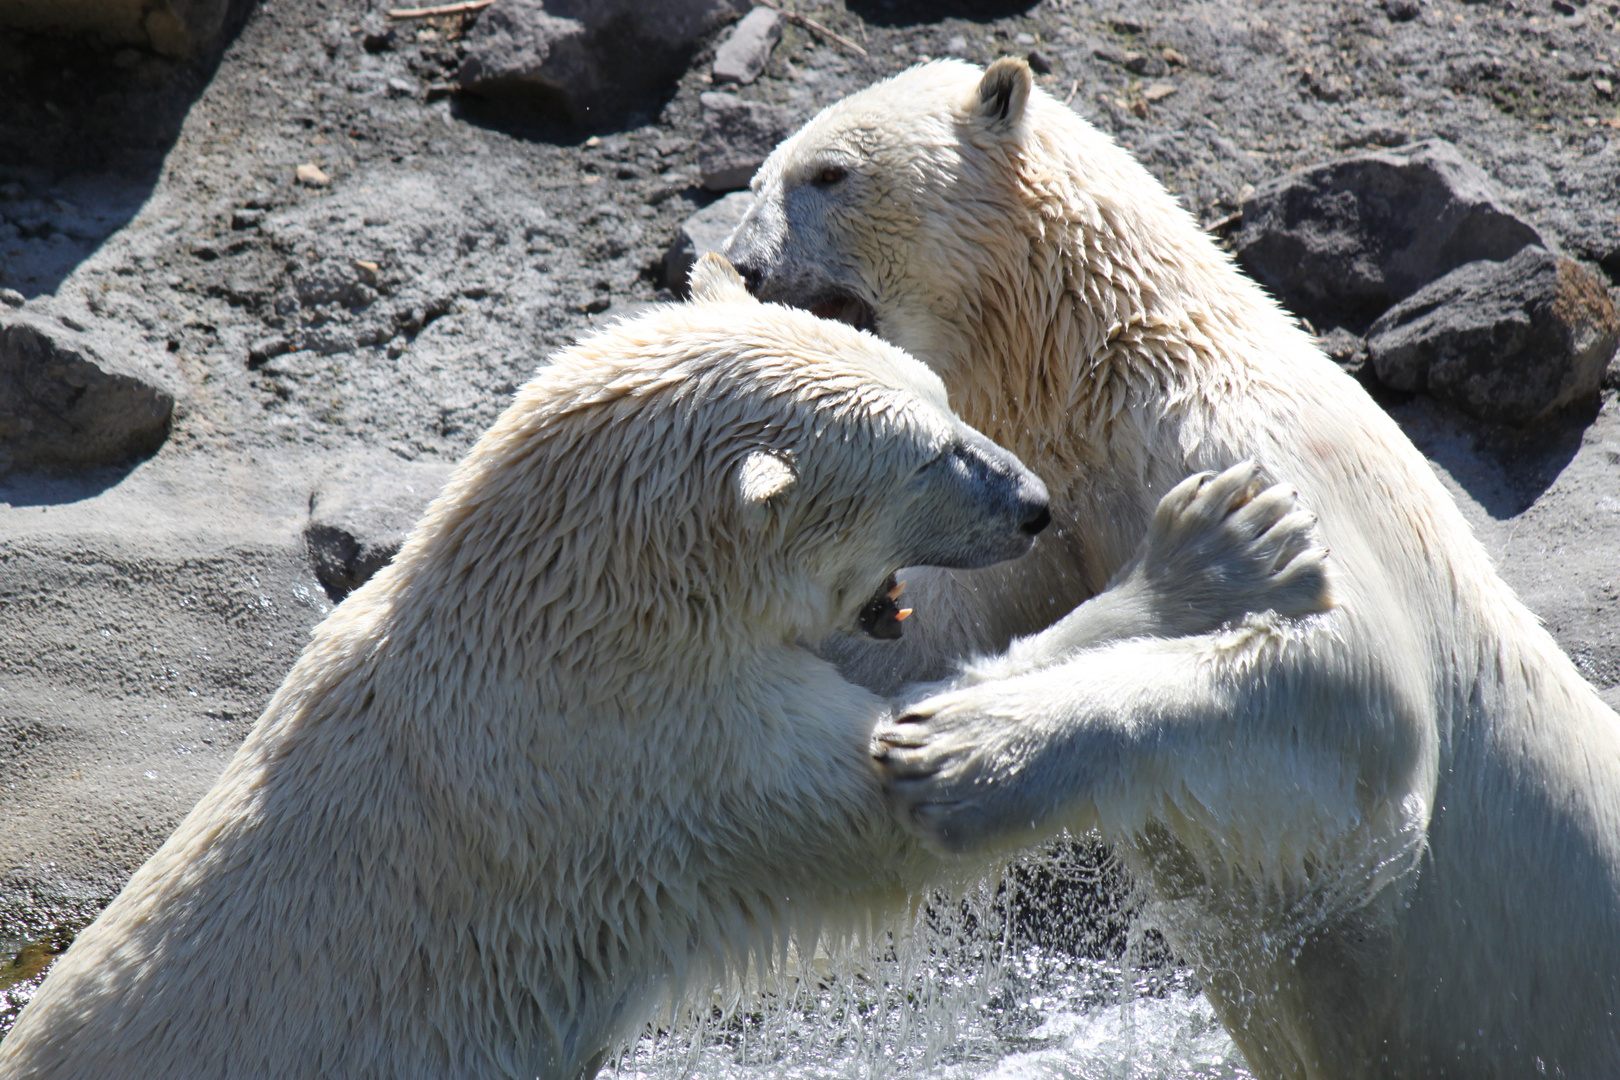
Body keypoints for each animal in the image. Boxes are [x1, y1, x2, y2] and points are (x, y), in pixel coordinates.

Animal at [0, 255, 1328, 1080]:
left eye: (949, 402)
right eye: (927, 457)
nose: (1034, 503)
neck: (565, 609)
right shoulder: (649, 755)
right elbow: (885, 794)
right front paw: (1220, 548)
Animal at [729, 61, 1620, 1080]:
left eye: (829, 173)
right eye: (762, 174)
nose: (745, 269)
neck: (1104, 364)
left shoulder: (1245, 450)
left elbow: (1355, 685)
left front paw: (964, 755)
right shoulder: (1050, 516)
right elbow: (911, 647)